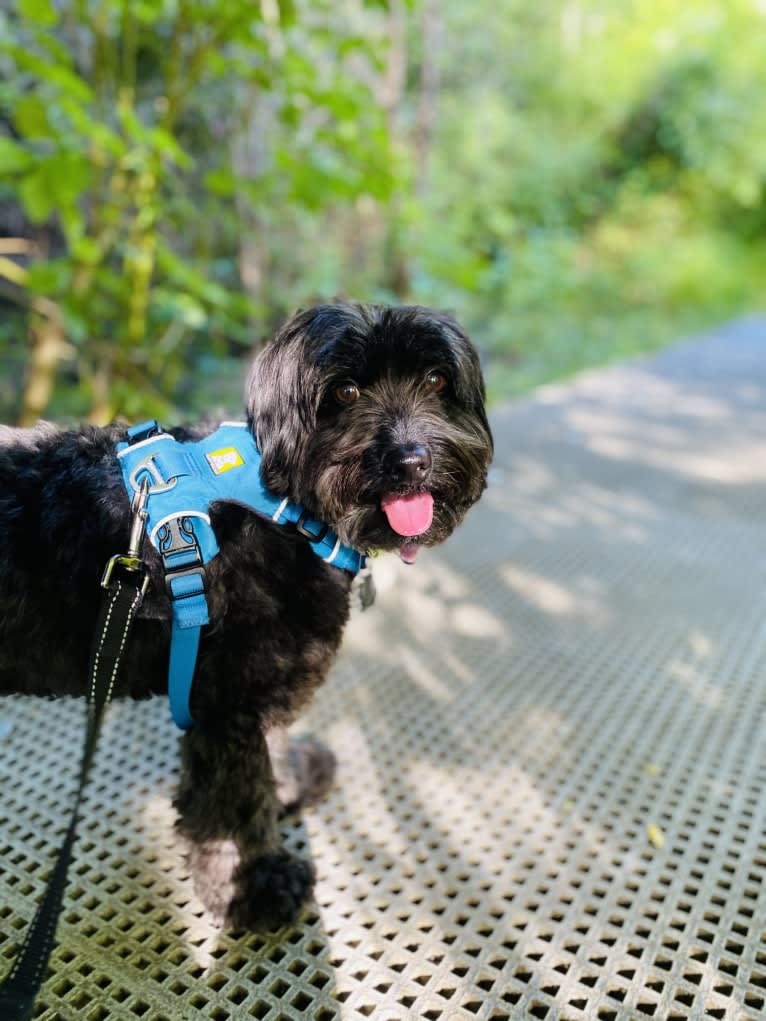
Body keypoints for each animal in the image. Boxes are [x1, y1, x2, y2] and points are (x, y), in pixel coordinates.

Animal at [0, 298, 492, 931]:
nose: (412, 460)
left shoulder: (267, 685)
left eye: (436, 381)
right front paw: (252, 885)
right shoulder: (226, 705)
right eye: (345, 391)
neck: (284, 512)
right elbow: (234, 803)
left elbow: (270, 751)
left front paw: (288, 782)